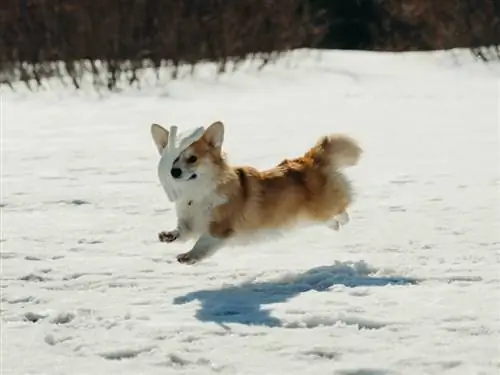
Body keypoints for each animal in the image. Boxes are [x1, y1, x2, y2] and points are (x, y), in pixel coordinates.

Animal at [150, 120, 362, 264]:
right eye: (172, 160)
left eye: (192, 158)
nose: (174, 172)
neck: (196, 193)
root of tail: (310, 159)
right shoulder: (190, 222)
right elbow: (182, 231)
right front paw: (168, 235)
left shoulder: (220, 229)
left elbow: (202, 242)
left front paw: (189, 256)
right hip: (310, 215)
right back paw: (333, 225)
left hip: (323, 206)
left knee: (343, 209)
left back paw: (341, 219)